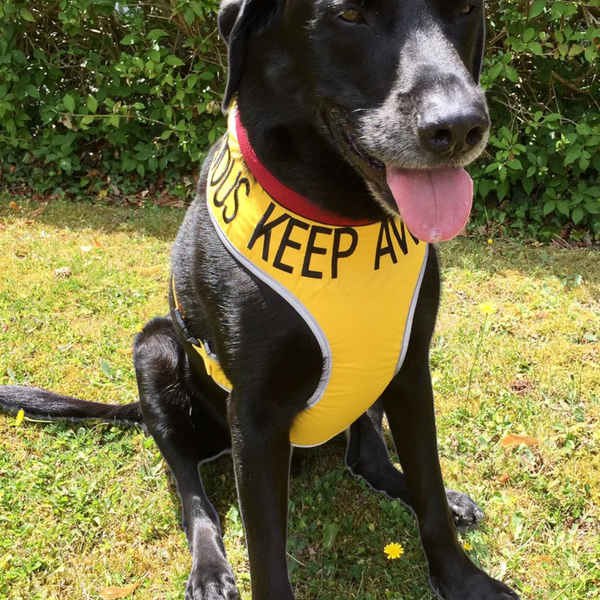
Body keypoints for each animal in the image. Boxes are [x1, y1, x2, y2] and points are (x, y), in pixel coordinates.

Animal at [1, 0, 520, 596]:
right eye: (348, 15)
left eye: (467, 9)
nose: (459, 127)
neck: (341, 218)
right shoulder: (253, 416)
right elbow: (266, 551)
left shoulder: (410, 371)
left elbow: (428, 489)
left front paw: (461, 577)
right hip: (154, 351)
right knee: (191, 489)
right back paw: (208, 567)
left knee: (369, 460)